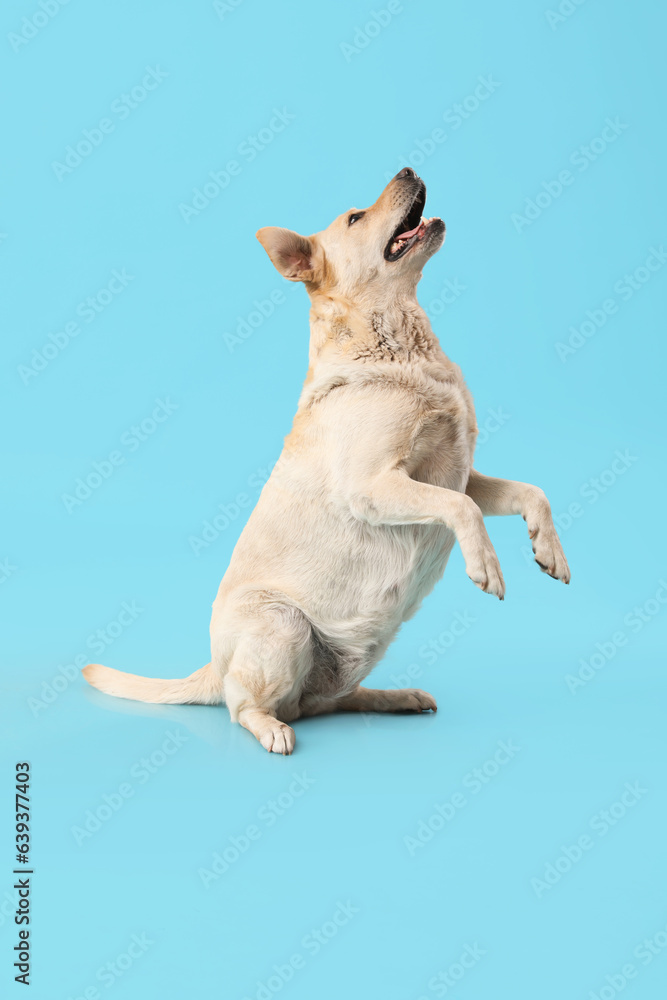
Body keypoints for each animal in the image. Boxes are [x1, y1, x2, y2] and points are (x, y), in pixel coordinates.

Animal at [83, 170, 572, 752]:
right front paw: (487, 566)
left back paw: (396, 698)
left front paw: (549, 551)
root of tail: (214, 668)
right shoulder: (375, 485)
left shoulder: (462, 473)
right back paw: (272, 729)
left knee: (326, 703)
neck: (399, 341)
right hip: (284, 624)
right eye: (356, 218)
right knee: (246, 708)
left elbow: (530, 491)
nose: (409, 170)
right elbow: (462, 509)